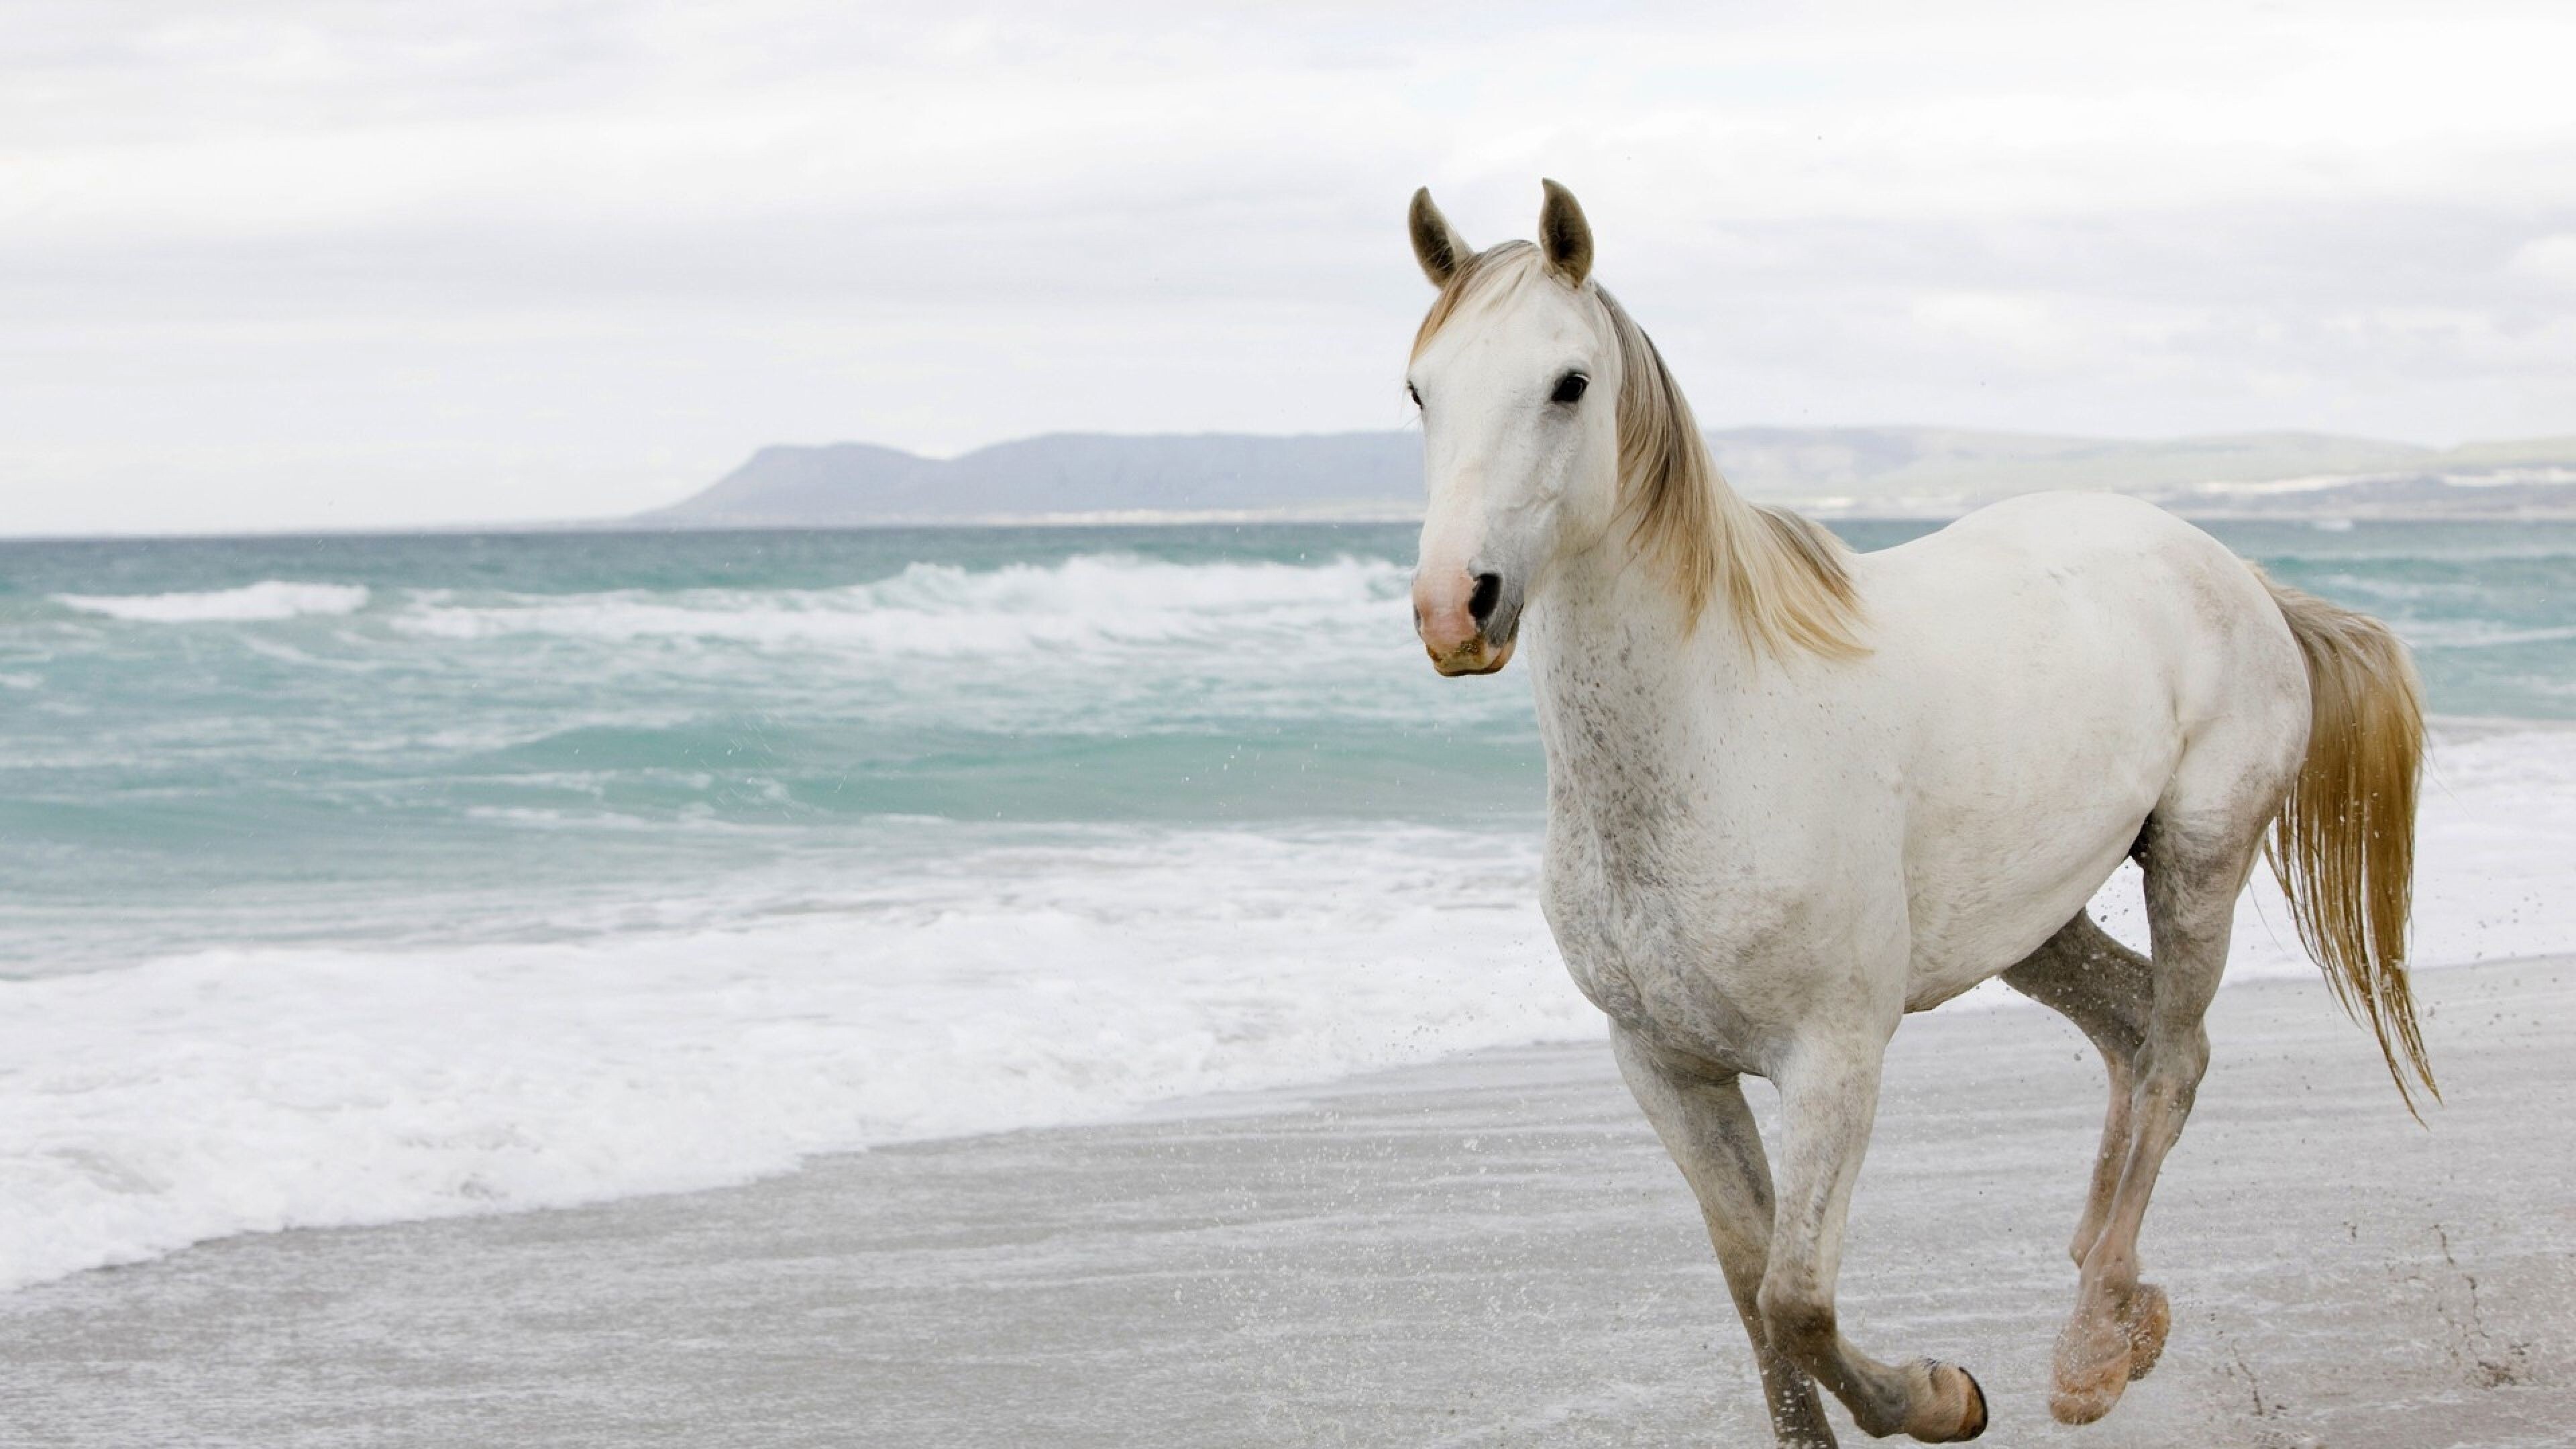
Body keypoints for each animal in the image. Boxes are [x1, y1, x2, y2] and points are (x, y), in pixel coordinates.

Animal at [1399, 180, 2432, 1446]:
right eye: (1421, 390)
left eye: (1569, 384)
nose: (1456, 606)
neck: (1714, 732)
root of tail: (2239, 575)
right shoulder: (1666, 1068)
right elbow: (1751, 1294)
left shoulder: (1833, 1062)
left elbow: (1795, 1301)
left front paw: (1945, 1397)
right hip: (2032, 925)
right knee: (2133, 1032)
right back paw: (2117, 1298)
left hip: (2199, 859)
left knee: (2175, 1054)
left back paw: (2091, 1350)